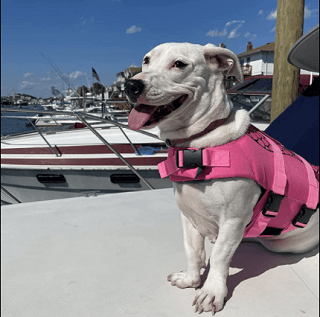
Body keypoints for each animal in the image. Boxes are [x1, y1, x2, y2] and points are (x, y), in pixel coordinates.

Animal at [124, 42, 318, 314]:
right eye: (146, 60)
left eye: (179, 64)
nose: (131, 85)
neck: (200, 144)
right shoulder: (189, 216)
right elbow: (192, 250)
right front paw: (191, 279)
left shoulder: (233, 219)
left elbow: (219, 257)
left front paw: (212, 291)